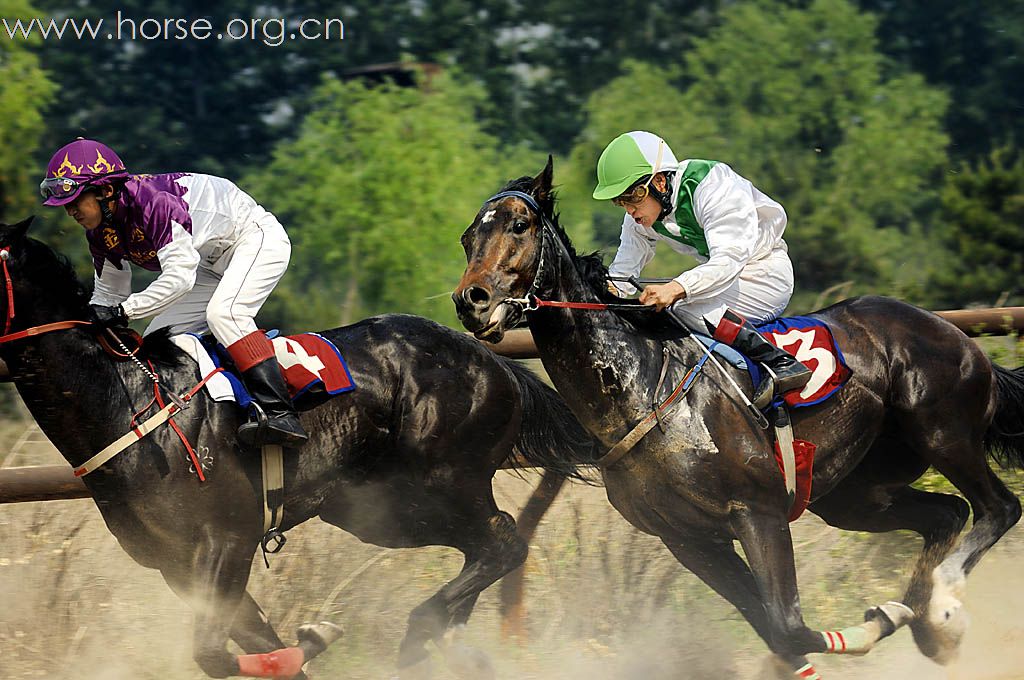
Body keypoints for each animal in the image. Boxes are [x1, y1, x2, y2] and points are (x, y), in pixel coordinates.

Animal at [0, 218, 598, 680]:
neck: (129, 404)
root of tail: (495, 363)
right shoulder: (178, 564)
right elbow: (256, 644)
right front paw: (306, 645)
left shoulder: (226, 539)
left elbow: (213, 652)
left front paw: (316, 637)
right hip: (379, 511)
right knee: (486, 545)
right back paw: (451, 644)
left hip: (439, 484)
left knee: (503, 542)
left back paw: (423, 635)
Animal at [452, 157, 1024, 675]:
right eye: (467, 239)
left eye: (519, 226)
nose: (470, 301)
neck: (643, 386)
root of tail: (958, 335)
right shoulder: (689, 539)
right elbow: (777, 631)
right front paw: (882, 620)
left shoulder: (758, 511)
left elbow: (788, 625)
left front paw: (876, 623)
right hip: (856, 493)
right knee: (944, 514)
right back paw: (928, 626)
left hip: (943, 432)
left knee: (998, 508)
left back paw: (944, 609)